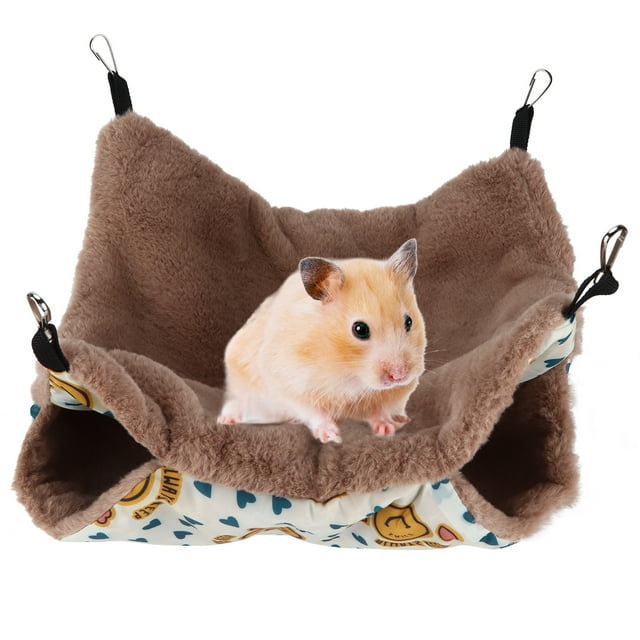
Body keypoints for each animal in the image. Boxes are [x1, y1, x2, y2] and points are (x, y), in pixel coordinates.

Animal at [217, 238, 426, 443]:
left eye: (409, 321)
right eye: (359, 329)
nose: (399, 376)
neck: (349, 371)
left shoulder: (388, 395)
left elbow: (378, 410)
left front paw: (386, 429)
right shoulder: (290, 382)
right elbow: (314, 412)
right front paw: (331, 436)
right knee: (235, 402)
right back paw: (226, 419)